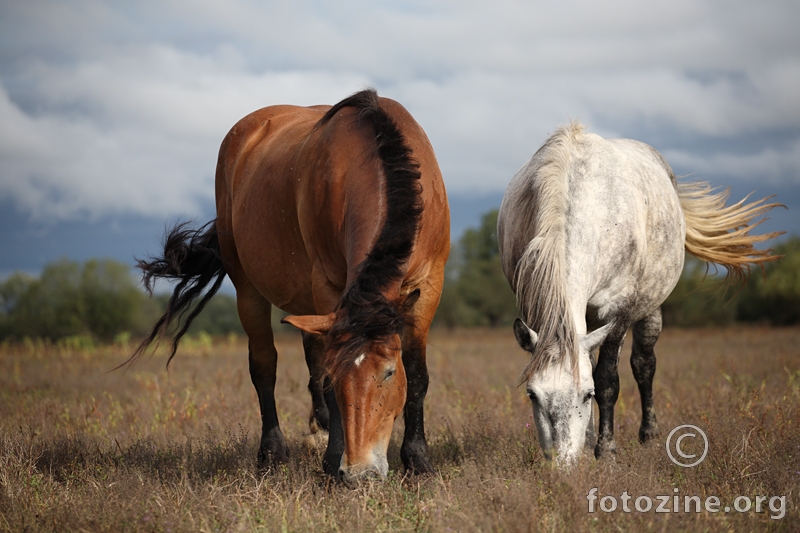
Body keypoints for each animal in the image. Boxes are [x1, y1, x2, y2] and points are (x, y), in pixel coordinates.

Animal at [131, 88, 450, 482]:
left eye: (389, 374)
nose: (360, 472)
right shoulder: (326, 286)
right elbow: (321, 371)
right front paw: (333, 462)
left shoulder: (429, 287)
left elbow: (417, 375)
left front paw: (418, 461)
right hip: (249, 289)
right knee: (264, 366)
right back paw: (272, 452)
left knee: (310, 351)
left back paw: (320, 429)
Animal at [500, 122, 780, 464]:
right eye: (532, 394)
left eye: (587, 395)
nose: (563, 464)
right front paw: (592, 443)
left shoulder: (618, 311)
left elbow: (608, 379)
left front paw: (606, 451)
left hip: (650, 310)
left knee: (644, 364)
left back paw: (649, 434)